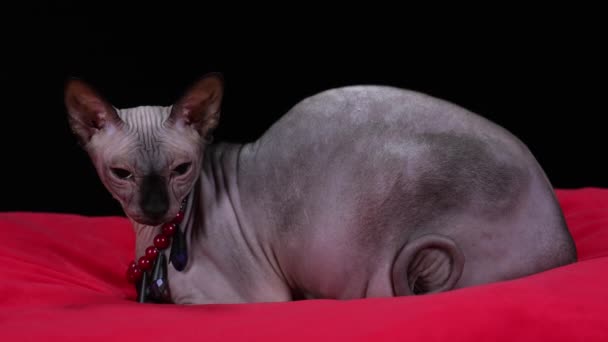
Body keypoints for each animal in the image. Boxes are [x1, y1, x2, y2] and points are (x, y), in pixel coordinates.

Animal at [64, 73, 576, 304]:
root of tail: (566, 245)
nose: (154, 206)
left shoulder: (242, 299)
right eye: (122, 174)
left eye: (181, 169)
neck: (158, 240)